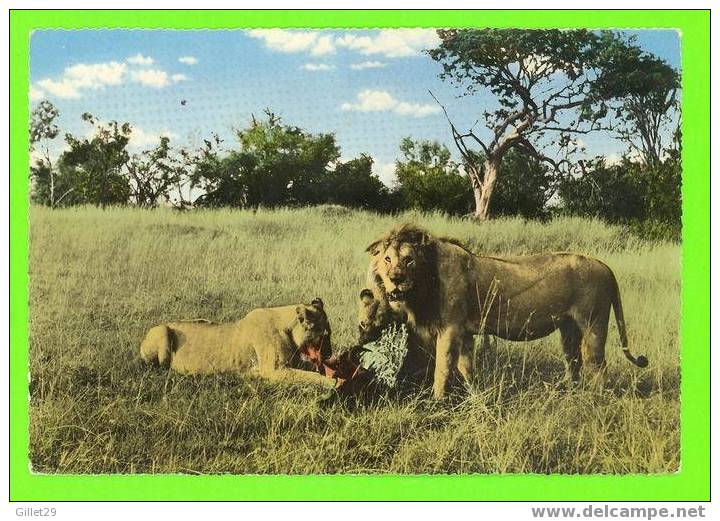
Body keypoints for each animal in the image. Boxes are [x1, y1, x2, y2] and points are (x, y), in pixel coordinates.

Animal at [141, 298, 344, 388]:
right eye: (325, 336)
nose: (329, 354)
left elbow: (310, 369)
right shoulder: (273, 370)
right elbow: (310, 376)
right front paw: (334, 381)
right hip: (161, 331)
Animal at [366, 223, 648, 398]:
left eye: (409, 260)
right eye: (387, 259)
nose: (395, 279)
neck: (425, 281)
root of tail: (605, 266)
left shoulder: (450, 328)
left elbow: (442, 368)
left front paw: (436, 402)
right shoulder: (465, 332)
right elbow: (466, 368)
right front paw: (477, 396)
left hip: (593, 324)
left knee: (597, 366)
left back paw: (594, 401)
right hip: (569, 328)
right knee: (574, 362)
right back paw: (571, 393)